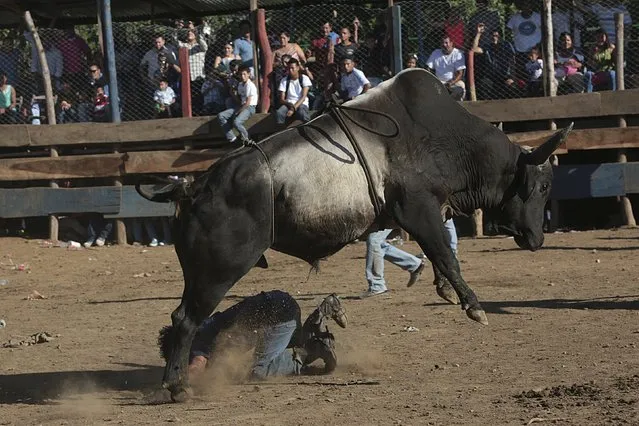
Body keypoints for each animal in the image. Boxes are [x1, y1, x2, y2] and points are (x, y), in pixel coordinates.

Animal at [138, 68, 572, 402]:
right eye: (542, 186)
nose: (536, 238)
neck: (444, 137)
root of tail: (194, 187)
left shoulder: (425, 214)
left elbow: (441, 253)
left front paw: (445, 289)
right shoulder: (418, 209)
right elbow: (445, 254)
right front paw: (473, 305)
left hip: (200, 273)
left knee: (182, 318)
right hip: (216, 272)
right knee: (185, 321)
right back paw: (176, 386)